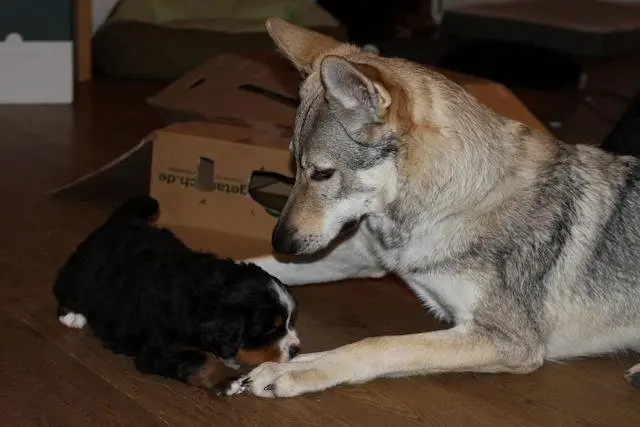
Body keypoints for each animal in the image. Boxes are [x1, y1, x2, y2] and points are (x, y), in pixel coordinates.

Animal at [53, 196, 300, 392]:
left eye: (289, 322)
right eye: (270, 329)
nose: (296, 349)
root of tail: (119, 221)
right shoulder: (161, 347)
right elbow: (202, 358)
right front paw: (228, 379)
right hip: (80, 275)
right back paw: (72, 315)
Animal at [220, 16, 640, 398]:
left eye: (322, 173)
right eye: (293, 166)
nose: (281, 242)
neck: (451, 204)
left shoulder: (509, 340)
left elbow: (375, 345)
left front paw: (291, 373)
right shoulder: (362, 257)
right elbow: (257, 266)